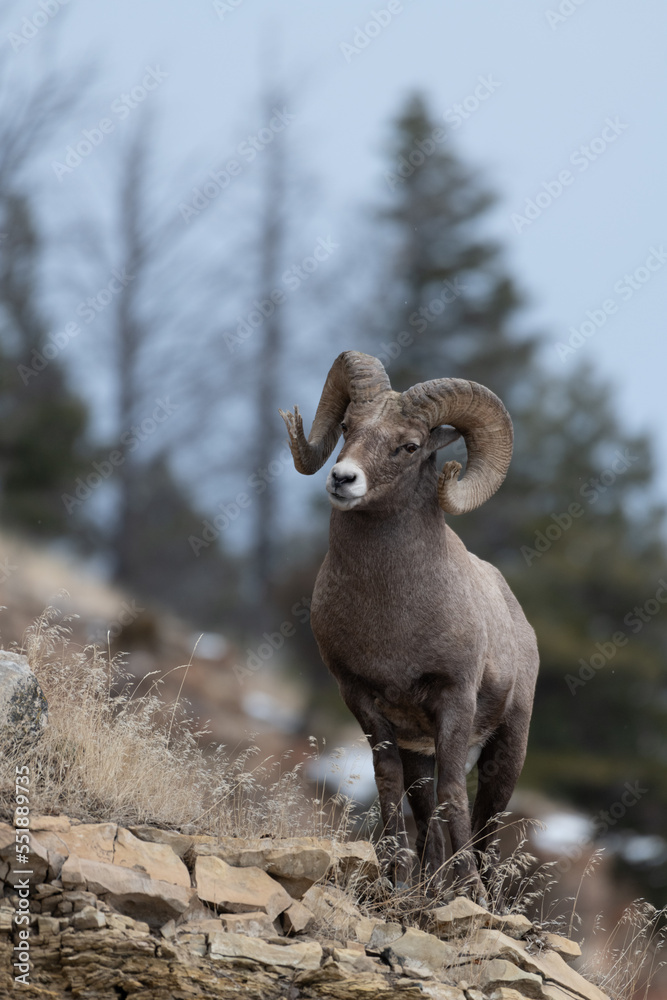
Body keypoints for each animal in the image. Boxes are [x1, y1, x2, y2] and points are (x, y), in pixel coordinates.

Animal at [279, 351, 539, 900]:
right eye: (348, 426)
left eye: (410, 445)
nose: (343, 479)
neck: (393, 618)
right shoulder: (363, 700)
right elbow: (388, 782)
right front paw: (395, 879)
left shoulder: (454, 700)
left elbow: (453, 794)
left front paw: (469, 894)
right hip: (423, 747)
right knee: (426, 815)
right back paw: (429, 886)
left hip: (509, 745)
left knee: (486, 821)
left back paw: (478, 891)